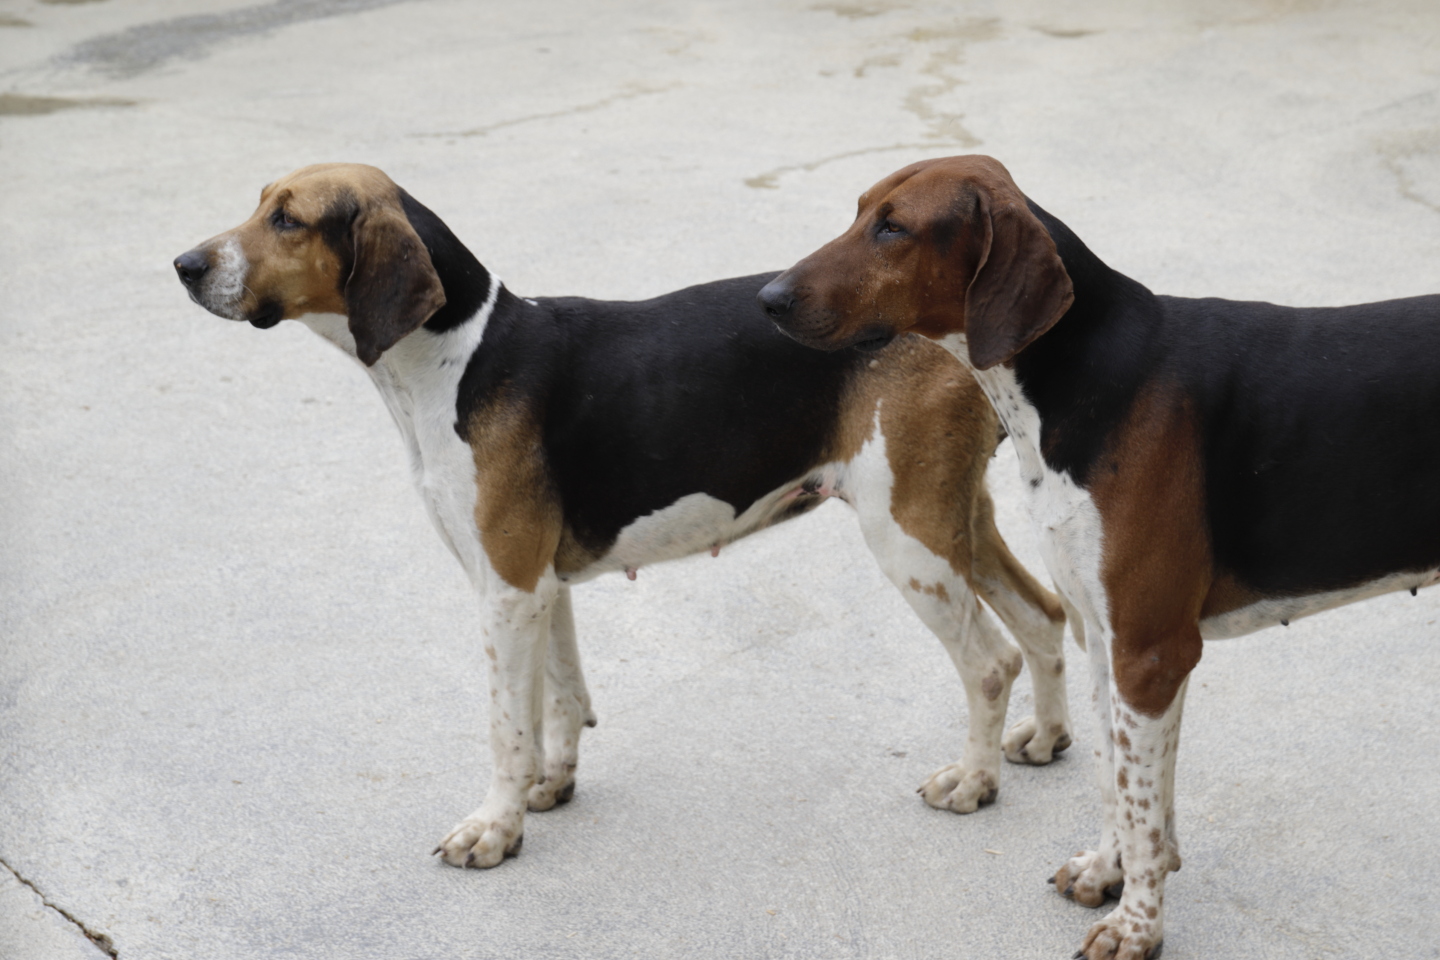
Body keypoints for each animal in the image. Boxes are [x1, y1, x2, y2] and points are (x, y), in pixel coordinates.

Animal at [171, 163, 1071, 869]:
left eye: (287, 219)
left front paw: (493, 829)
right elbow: (563, 697)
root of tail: (952, 329)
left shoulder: (506, 593)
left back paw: (974, 782)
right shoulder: (539, 586)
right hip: (954, 523)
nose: (183, 264)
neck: (456, 356)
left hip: (907, 537)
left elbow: (507, 725)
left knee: (991, 661)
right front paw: (550, 786)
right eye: (259, 203)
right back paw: (1045, 738)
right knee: (1045, 616)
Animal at [760, 156, 1440, 960]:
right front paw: (1106, 874)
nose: (767, 300)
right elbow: (1122, 783)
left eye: (894, 228)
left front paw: (1137, 926)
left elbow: (1141, 808)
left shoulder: (1151, 652)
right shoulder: (1105, 637)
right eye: (860, 209)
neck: (1080, 376)